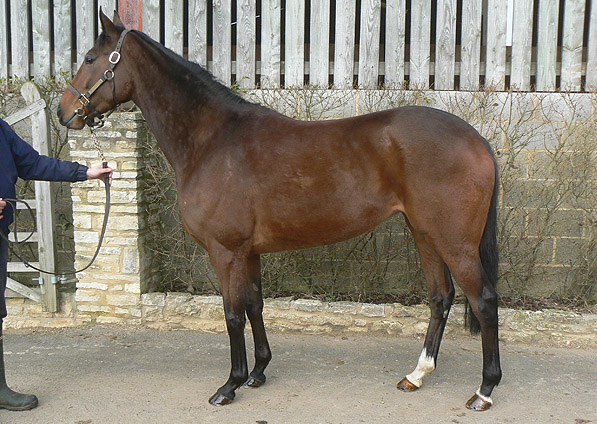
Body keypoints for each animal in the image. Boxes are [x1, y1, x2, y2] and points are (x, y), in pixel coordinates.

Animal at [59, 11, 498, 412]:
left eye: (91, 58)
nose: (65, 112)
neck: (212, 141)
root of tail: (476, 139)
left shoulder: (225, 251)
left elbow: (232, 314)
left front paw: (230, 385)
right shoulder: (248, 252)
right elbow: (255, 305)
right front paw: (257, 372)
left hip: (454, 241)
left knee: (483, 300)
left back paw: (484, 390)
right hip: (425, 233)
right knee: (440, 297)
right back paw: (417, 375)